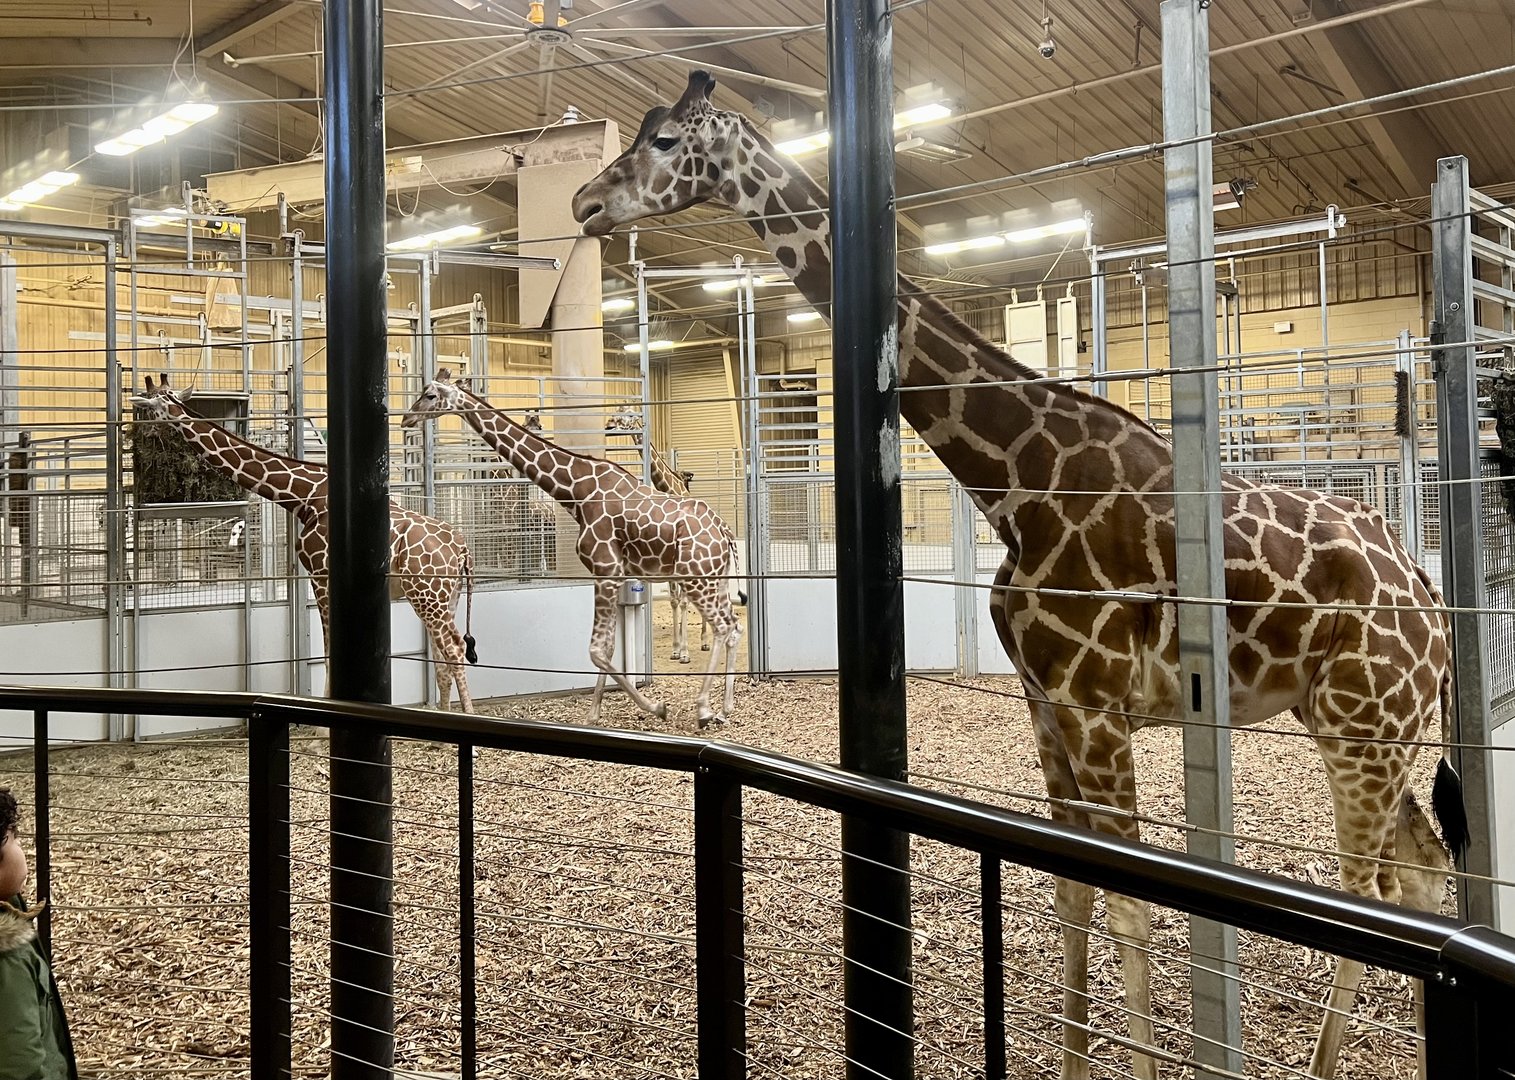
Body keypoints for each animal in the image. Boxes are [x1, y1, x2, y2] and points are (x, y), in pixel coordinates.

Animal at [131, 374, 480, 713]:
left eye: (150, 406)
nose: (144, 430)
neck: (305, 496)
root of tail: (462, 551)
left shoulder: (321, 575)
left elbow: (327, 654)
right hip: (444, 597)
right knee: (445, 657)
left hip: (427, 595)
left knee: (455, 649)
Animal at [605, 405, 710, 663]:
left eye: (630, 414)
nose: (609, 425)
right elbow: (674, 601)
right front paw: (675, 649)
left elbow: (683, 601)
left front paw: (685, 652)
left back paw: (704, 641)